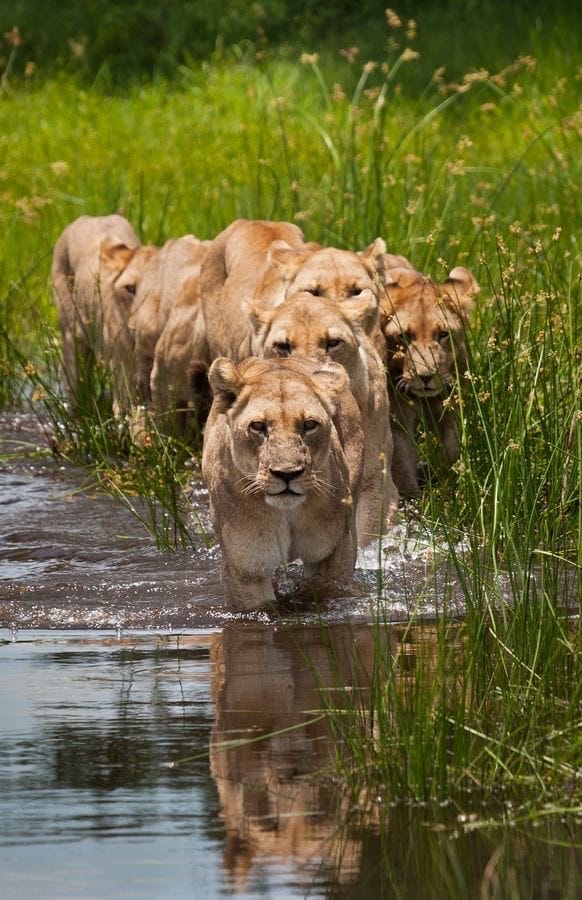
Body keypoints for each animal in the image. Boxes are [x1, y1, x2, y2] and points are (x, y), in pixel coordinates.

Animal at [202, 356, 364, 610]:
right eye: (258, 426)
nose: (287, 474)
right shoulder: (245, 568)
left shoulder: (336, 551)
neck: (288, 512)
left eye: (309, 425)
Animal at [379, 264, 479, 494]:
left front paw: (444, 476)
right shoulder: (397, 421)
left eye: (442, 334)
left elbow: (452, 448)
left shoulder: (448, 408)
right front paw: (413, 497)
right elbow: (402, 464)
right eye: (404, 336)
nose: (425, 377)